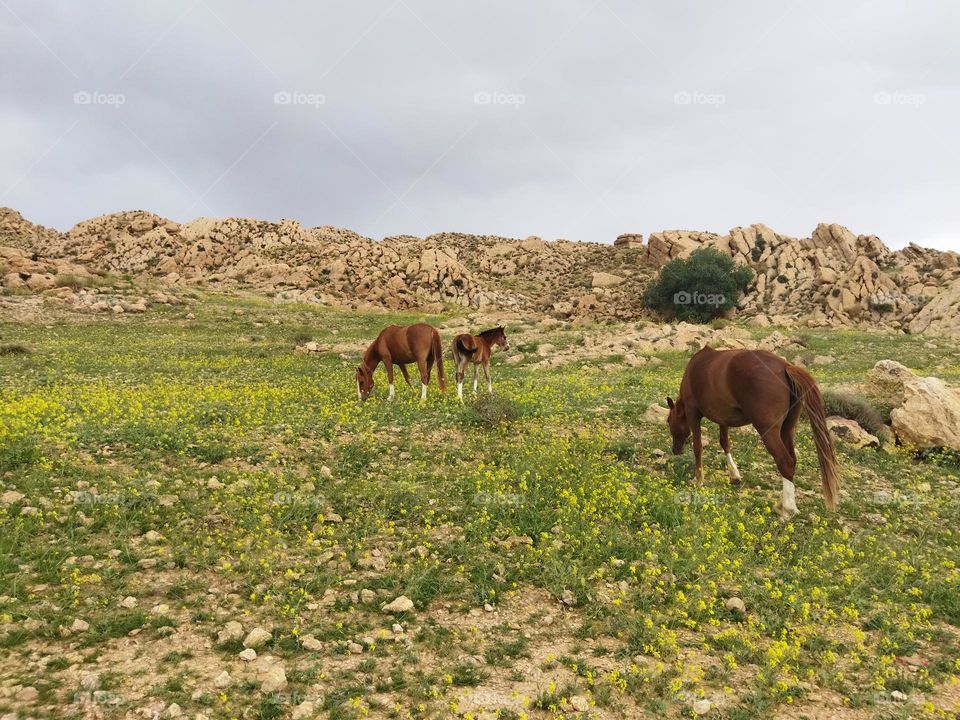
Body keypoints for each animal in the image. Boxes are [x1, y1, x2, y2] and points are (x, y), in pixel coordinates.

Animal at [668, 344, 840, 516]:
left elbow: (698, 447)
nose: (675, 450)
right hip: (787, 429)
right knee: (792, 461)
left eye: (669, 421)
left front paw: (699, 479)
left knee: (785, 462)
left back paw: (788, 508)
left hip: (769, 432)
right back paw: (781, 504)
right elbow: (725, 443)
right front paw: (734, 475)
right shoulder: (723, 419)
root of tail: (785, 366)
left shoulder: (693, 413)